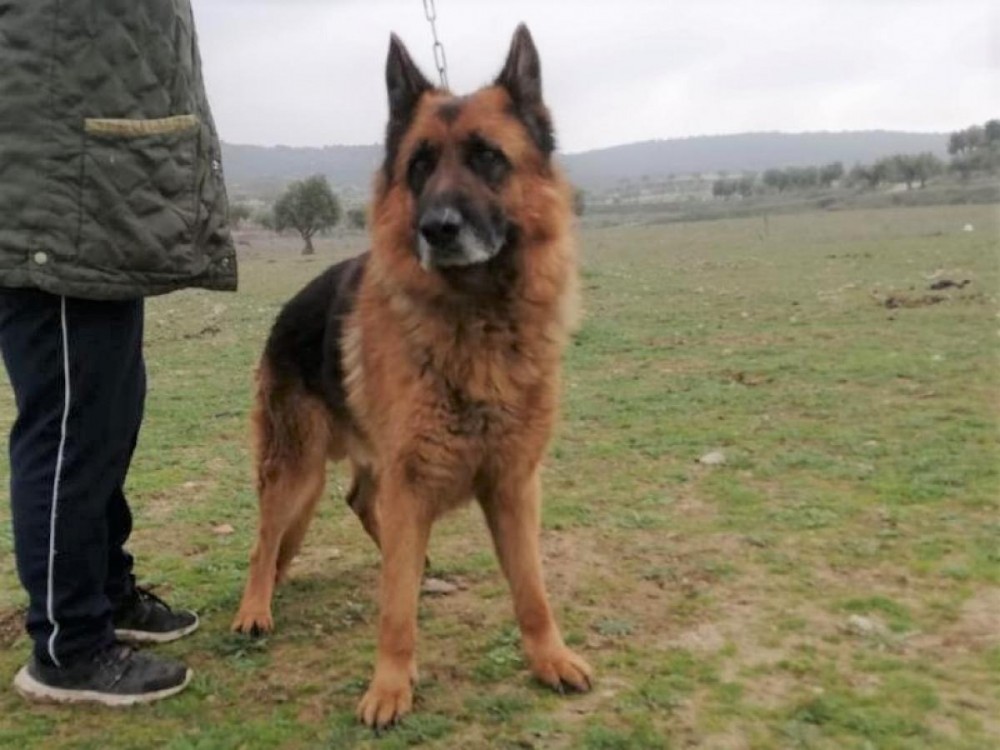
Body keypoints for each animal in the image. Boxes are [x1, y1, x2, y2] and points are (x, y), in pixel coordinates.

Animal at [232, 24, 591, 728]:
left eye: (487, 158)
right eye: (419, 167)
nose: (436, 229)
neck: (477, 324)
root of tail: (285, 313)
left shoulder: (513, 486)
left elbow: (531, 589)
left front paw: (549, 659)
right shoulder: (411, 481)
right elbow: (393, 610)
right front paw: (390, 687)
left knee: (358, 502)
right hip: (296, 469)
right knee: (266, 539)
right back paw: (255, 608)